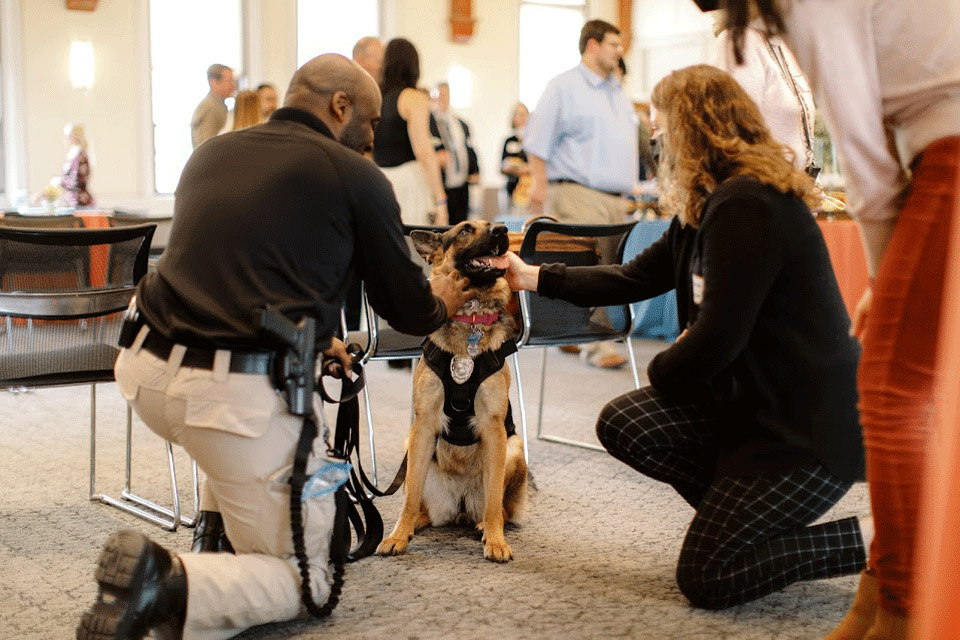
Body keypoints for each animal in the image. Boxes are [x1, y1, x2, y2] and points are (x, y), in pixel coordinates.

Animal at [376, 222, 528, 564]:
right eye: (465, 230)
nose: (502, 230)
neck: (470, 319)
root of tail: (459, 506)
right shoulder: (422, 426)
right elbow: (409, 497)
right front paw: (398, 536)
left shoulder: (494, 429)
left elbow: (494, 499)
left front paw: (496, 540)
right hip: (412, 447)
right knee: (419, 500)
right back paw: (414, 524)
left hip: (513, 448)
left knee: (497, 506)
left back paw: (485, 525)